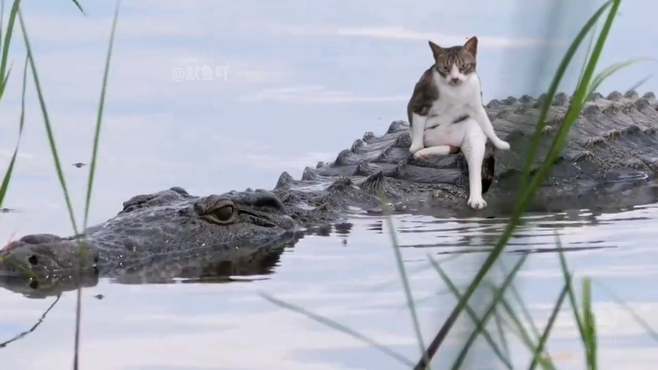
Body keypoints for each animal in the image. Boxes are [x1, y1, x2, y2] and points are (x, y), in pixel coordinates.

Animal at [402, 36, 510, 211]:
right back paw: (422, 152)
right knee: (444, 145)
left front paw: (499, 142)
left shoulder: (476, 105)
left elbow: (487, 124)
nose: (455, 78)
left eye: (463, 66)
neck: (455, 92)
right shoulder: (419, 102)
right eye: (445, 68)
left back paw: (476, 199)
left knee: (471, 163)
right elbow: (416, 129)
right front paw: (416, 149)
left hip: (472, 135)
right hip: (432, 134)